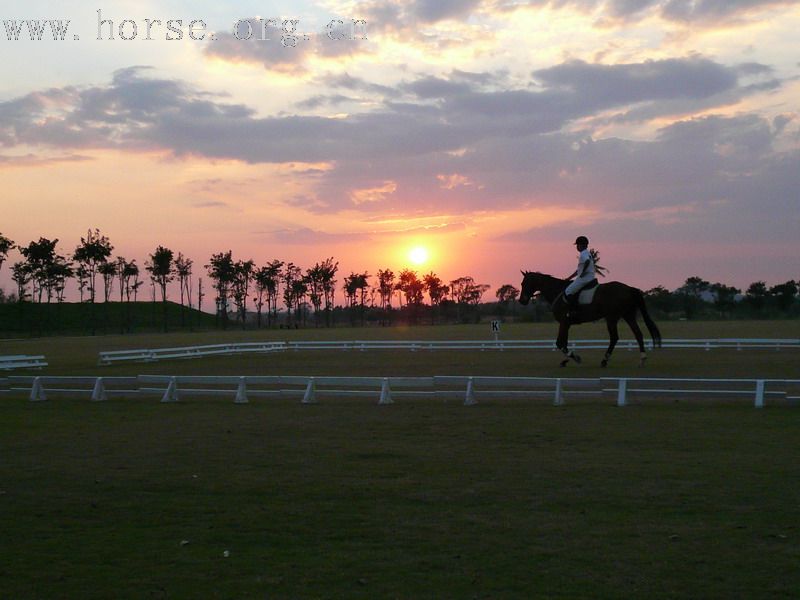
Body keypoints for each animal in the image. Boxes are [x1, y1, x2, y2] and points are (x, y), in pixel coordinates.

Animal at [520, 270, 664, 366]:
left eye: (524, 283)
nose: (522, 301)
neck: (557, 291)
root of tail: (629, 288)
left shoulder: (564, 322)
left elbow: (559, 343)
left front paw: (575, 357)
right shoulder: (566, 324)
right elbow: (563, 342)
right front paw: (566, 360)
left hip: (611, 318)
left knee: (614, 337)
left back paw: (605, 360)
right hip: (628, 315)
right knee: (638, 334)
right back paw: (642, 359)